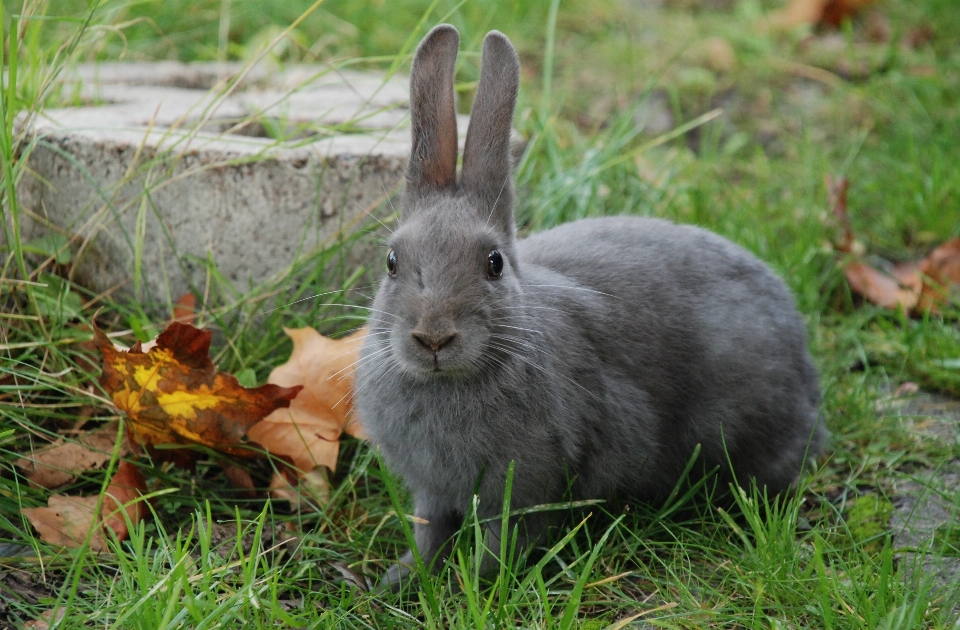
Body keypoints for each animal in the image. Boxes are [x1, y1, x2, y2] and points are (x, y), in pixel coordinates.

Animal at [352, 23, 824, 588]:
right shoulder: (433, 490)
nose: (434, 337)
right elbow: (429, 535)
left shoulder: (526, 486)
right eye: (392, 261)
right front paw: (398, 580)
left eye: (493, 263)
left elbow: (502, 544)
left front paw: (476, 585)